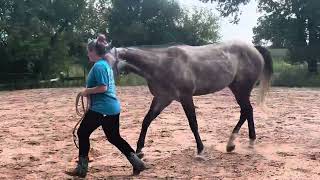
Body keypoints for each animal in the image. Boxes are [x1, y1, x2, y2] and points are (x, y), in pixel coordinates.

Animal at [107, 41, 272, 158]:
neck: (161, 64)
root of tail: (254, 49)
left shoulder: (185, 97)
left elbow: (193, 123)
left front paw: (200, 150)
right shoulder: (162, 98)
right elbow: (146, 120)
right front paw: (139, 150)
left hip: (242, 90)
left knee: (246, 110)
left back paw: (239, 143)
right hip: (237, 89)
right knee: (247, 111)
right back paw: (239, 143)